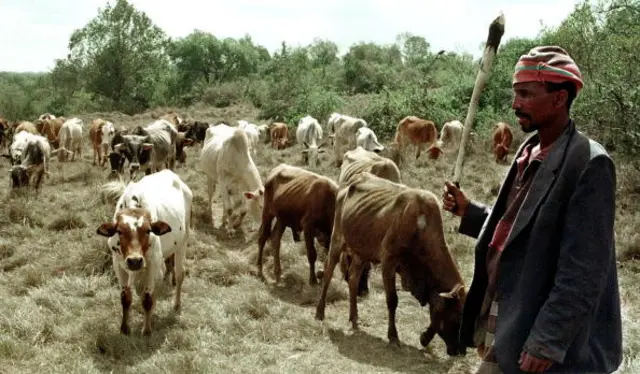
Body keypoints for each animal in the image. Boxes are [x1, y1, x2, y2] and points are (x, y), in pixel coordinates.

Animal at [95, 169, 190, 336]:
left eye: (147, 230)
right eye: (119, 231)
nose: (134, 260)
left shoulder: (152, 263)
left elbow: (147, 298)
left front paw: (146, 329)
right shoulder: (118, 264)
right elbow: (126, 297)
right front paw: (124, 328)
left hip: (182, 244)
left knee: (179, 274)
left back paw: (176, 304)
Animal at [318, 171, 468, 356]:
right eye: (457, 318)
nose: (461, 351)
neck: (420, 228)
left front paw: (424, 337)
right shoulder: (388, 262)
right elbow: (392, 300)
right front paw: (393, 336)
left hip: (362, 251)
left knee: (353, 279)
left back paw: (354, 318)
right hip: (337, 238)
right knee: (328, 272)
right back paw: (320, 313)